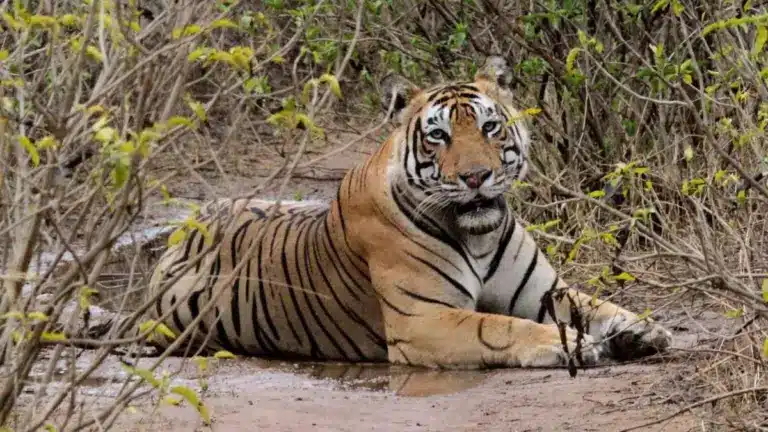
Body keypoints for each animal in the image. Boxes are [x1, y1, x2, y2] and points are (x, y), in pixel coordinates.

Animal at [141, 56, 672, 369]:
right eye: (438, 135)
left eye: (490, 127)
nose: (476, 177)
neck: (478, 236)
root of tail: (182, 230)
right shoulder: (422, 319)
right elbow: (498, 326)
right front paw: (572, 344)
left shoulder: (544, 291)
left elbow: (597, 304)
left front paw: (643, 329)